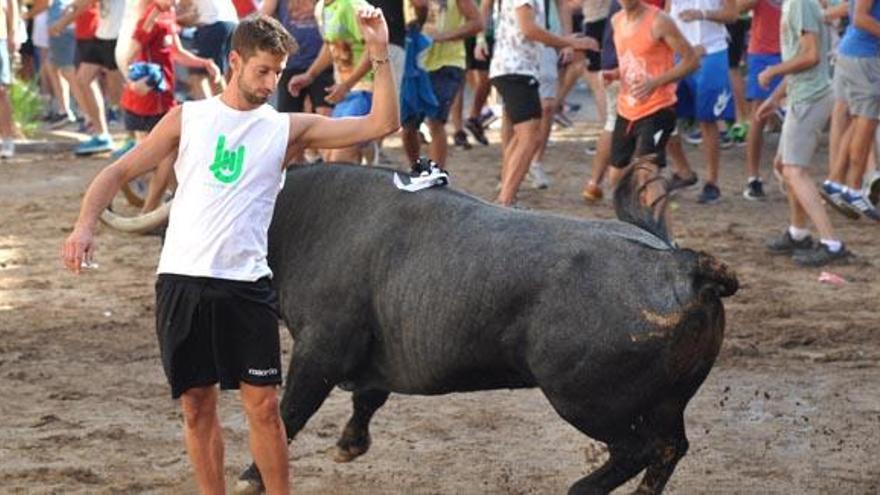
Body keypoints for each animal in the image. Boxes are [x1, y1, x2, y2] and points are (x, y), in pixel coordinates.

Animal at [234, 165, 736, 494]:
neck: (297, 216)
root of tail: (682, 264)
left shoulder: (320, 349)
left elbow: (289, 413)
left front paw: (249, 478)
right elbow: (367, 398)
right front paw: (349, 444)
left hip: (588, 401)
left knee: (637, 450)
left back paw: (580, 489)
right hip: (665, 403)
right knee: (669, 448)